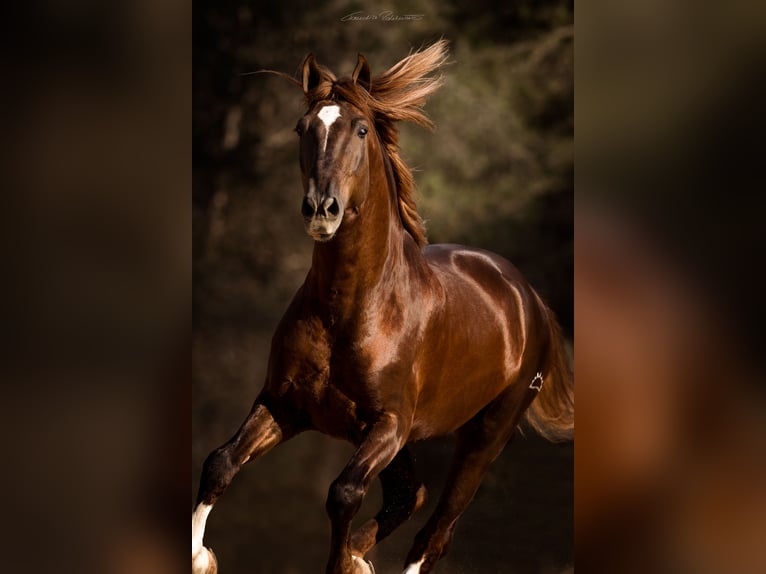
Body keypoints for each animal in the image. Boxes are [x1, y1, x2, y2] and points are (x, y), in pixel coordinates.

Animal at [194, 42, 576, 574]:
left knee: (435, 532)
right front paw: (200, 556)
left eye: (360, 129)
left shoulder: (387, 424)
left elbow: (343, 494)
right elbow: (220, 463)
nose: (321, 209)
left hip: (485, 436)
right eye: (301, 127)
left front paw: (342, 562)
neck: (352, 309)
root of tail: (530, 300)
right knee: (409, 497)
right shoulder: (283, 405)